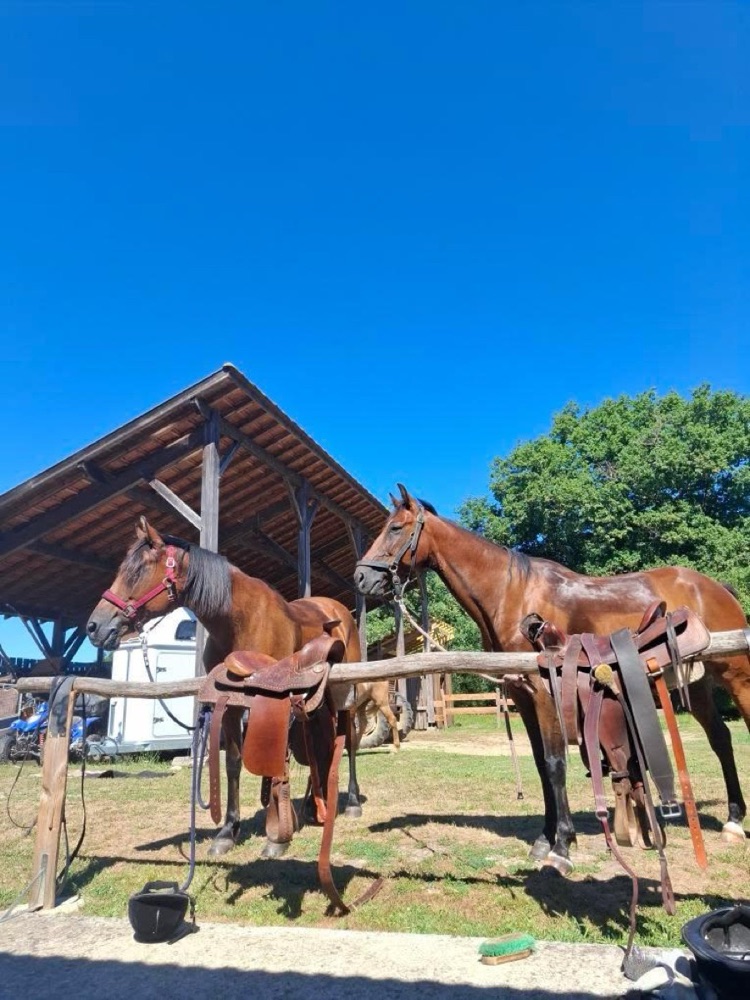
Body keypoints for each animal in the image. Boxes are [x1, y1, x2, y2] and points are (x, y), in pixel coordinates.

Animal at [87, 516, 366, 859]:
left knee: (348, 741)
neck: (238, 620)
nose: (94, 626)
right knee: (318, 742)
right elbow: (233, 763)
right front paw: (228, 831)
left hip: (346, 694)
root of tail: (338, 612)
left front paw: (277, 838)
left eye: (137, 570)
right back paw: (314, 808)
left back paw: (350, 801)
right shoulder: (231, 705)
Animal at [355, 484, 750, 874]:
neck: (511, 592)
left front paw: (562, 845)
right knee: (721, 738)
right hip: (697, 685)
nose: (360, 577)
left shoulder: (545, 693)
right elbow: (541, 764)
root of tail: (717, 588)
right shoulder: (522, 694)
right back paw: (733, 819)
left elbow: (556, 763)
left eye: (395, 528)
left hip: (737, 676)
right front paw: (545, 839)